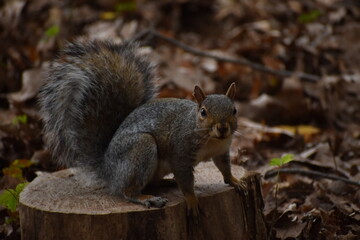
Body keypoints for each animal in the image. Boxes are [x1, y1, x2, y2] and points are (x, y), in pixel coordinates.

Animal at [39, 39, 245, 216]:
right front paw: (192, 200)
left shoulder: (221, 151)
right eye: (203, 112)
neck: (210, 139)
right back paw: (147, 198)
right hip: (140, 149)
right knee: (127, 191)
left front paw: (235, 181)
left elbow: (225, 168)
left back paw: (166, 182)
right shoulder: (181, 153)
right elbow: (186, 181)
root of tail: (107, 169)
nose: (223, 128)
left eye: (234, 110)